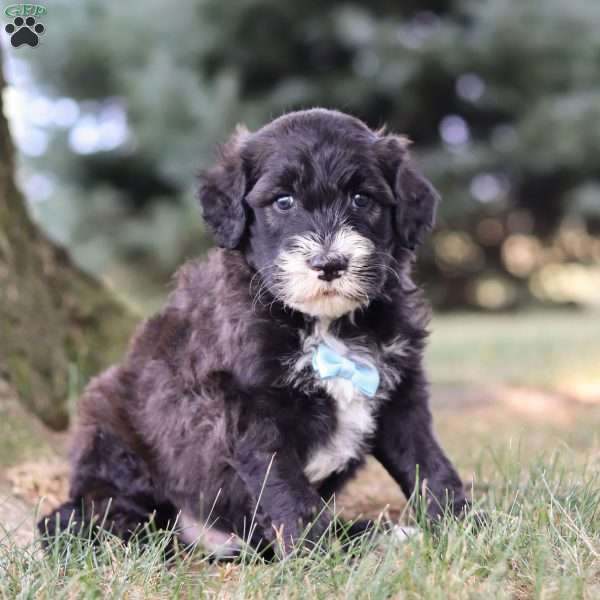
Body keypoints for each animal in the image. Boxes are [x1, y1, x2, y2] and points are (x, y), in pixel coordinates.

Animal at [38, 108, 468, 556]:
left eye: (362, 199)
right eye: (283, 201)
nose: (329, 263)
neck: (324, 324)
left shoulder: (401, 393)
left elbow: (426, 460)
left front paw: (464, 526)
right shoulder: (249, 406)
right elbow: (285, 485)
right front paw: (315, 553)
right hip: (112, 436)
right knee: (107, 517)